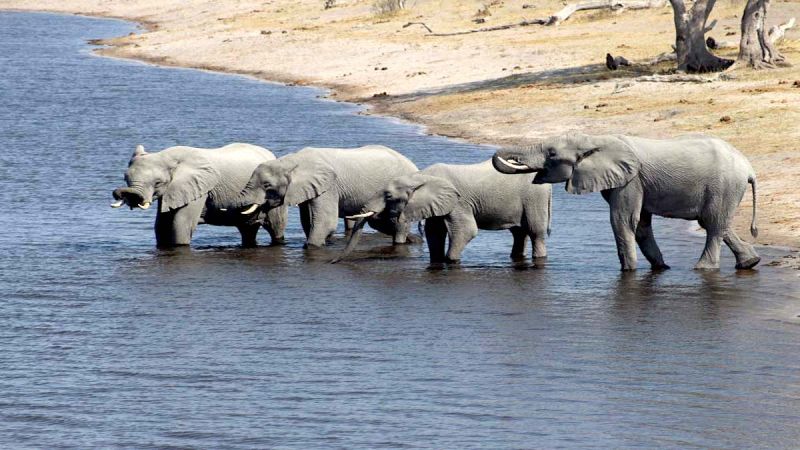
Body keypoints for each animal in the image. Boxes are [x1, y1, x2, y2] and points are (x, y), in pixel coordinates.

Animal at [111, 144, 288, 248]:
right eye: (125, 177)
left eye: (158, 182)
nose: (119, 193)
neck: (169, 157)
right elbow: (161, 225)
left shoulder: (199, 188)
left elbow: (179, 225)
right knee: (247, 230)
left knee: (276, 226)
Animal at [234, 146, 418, 248]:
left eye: (267, 185)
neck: (291, 161)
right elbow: (307, 221)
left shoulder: (329, 187)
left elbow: (325, 222)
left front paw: (310, 247)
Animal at [336, 160, 552, 264]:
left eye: (388, 196)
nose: (333, 262)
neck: (420, 176)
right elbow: (434, 232)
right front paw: (437, 261)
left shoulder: (459, 202)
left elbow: (466, 231)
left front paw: (451, 261)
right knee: (518, 233)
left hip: (535, 198)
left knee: (535, 232)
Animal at [490, 130, 760, 270]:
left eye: (552, 154)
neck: (595, 139)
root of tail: (749, 168)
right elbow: (640, 225)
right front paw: (660, 268)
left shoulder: (631, 180)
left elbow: (623, 221)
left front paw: (629, 273)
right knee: (716, 223)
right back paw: (750, 263)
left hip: (723, 185)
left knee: (713, 225)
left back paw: (703, 269)